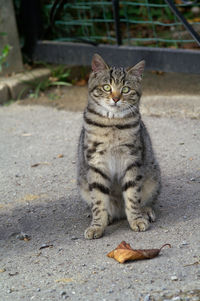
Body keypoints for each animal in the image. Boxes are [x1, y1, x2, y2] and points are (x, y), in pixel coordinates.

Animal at [77, 52, 161, 238]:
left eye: (125, 89)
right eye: (107, 87)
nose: (115, 98)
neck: (112, 123)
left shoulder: (132, 160)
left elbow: (132, 195)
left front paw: (136, 219)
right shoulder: (96, 163)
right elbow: (98, 201)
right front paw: (97, 226)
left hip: (153, 177)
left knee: (147, 200)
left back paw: (145, 211)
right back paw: (107, 216)